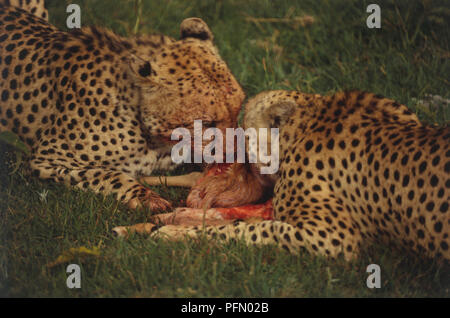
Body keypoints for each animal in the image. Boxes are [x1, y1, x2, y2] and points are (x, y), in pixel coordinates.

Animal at [0, 5, 244, 209]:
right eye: (207, 123)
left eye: (239, 108)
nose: (234, 153)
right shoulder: (44, 160)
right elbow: (107, 175)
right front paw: (146, 196)